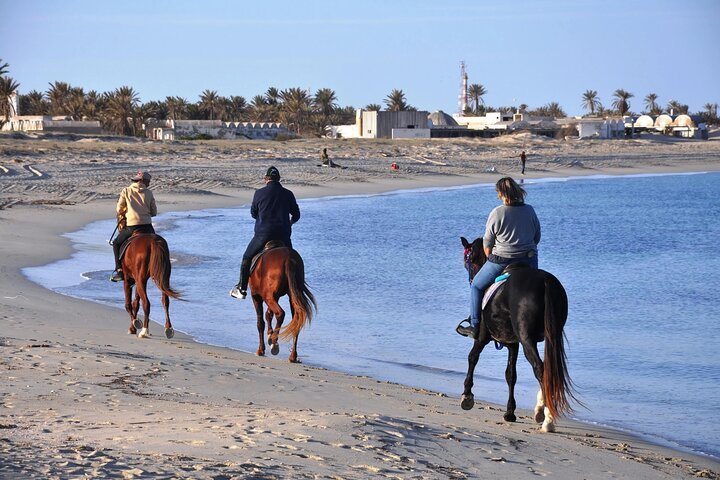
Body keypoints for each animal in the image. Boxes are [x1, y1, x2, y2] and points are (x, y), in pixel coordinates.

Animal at [459, 236, 576, 432]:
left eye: (469, 260)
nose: (472, 278)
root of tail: (544, 282)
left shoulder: (482, 337)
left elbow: (472, 357)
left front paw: (467, 396)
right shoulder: (513, 344)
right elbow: (511, 375)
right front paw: (510, 412)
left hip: (527, 339)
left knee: (540, 368)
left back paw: (548, 420)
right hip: (551, 336)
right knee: (548, 370)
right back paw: (541, 410)